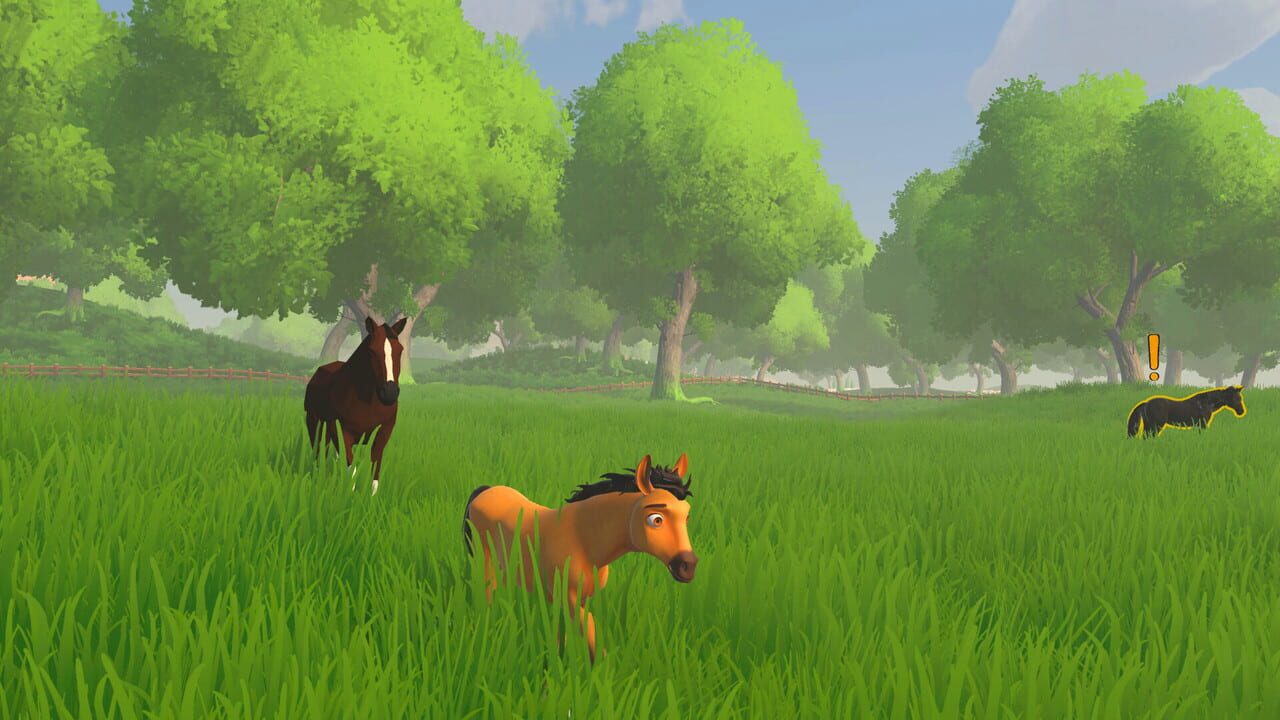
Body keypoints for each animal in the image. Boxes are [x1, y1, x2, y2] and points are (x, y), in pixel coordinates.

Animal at [304, 316, 407, 493]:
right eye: (372, 351)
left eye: (400, 350)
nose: (390, 393)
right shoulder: (342, 430)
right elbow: (350, 466)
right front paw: (349, 497)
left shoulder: (385, 429)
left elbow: (375, 463)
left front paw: (372, 497)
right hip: (314, 422)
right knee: (319, 450)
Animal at [462, 454, 697, 663]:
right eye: (656, 519)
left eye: (687, 516)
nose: (688, 566)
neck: (582, 539)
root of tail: (485, 490)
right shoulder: (569, 596)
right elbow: (591, 630)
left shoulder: (576, 597)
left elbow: (565, 630)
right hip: (483, 561)